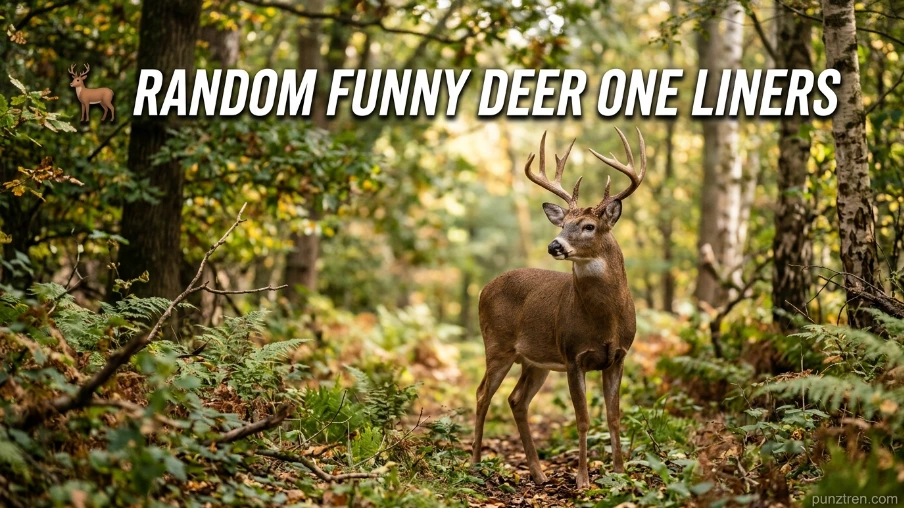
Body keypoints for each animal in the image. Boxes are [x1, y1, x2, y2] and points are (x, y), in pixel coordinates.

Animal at [471, 127, 646, 489]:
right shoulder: (573, 354)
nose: (555, 245)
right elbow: (583, 418)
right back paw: (476, 463)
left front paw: (620, 472)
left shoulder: (619, 355)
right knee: (482, 394)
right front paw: (582, 479)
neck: (606, 320)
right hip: (497, 345)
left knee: (516, 399)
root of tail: (483, 288)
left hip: (535, 360)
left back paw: (538, 473)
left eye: (588, 226)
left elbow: (613, 416)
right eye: (562, 224)